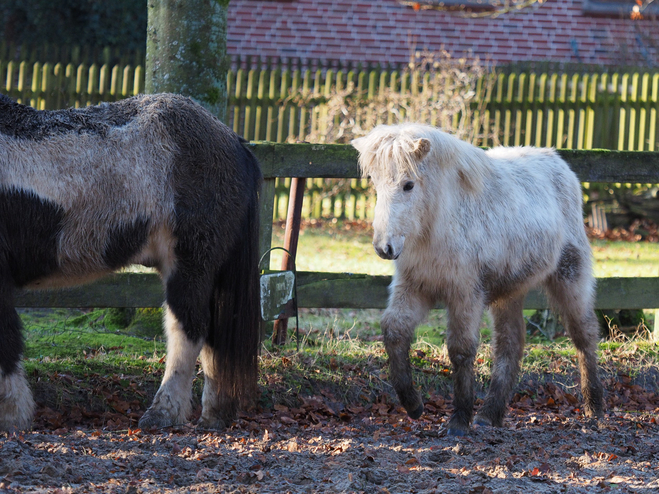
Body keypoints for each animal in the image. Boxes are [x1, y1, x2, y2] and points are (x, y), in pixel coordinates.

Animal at [0, 93, 262, 432]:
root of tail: (233, 140)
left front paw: (11, 416)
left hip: (191, 265)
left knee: (188, 329)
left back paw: (163, 413)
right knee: (214, 338)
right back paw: (214, 415)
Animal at [354, 123, 604, 436]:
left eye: (408, 185)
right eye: (375, 183)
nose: (384, 248)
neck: (438, 224)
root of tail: (559, 163)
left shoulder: (465, 295)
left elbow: (460, 349)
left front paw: (459, 420)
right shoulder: (415, 288)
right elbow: (393, 331)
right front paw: (413, 405)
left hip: (570, 277)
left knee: (584, 334)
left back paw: (594, 407)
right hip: (510, 292)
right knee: (511, 343)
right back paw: (489, 414)